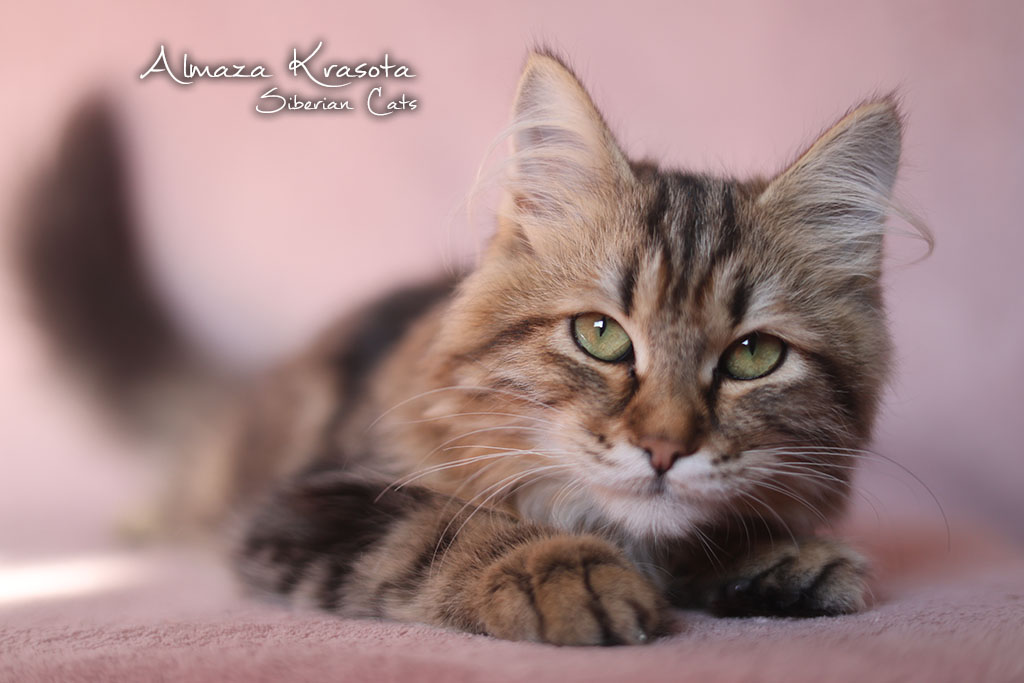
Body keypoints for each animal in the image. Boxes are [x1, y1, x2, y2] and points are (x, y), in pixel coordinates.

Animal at [17, 50, 915, 646]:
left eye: (753, 356)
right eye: (600, 336)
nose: (664, 448)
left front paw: (781, 557)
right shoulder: (307, 504)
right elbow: (445, 525)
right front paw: (563, 570)